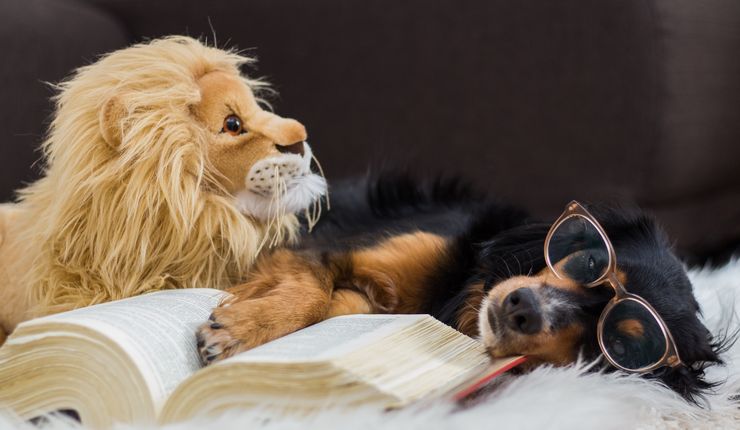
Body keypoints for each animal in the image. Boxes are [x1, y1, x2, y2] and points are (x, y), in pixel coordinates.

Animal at [198, 174, 728, 400]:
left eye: (617, 344)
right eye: (590, 259)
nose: (520, 307)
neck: (458, 294)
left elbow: (327, 305)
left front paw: (241, 325)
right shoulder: (320, 247)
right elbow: (311, 291)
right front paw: (240, 330)